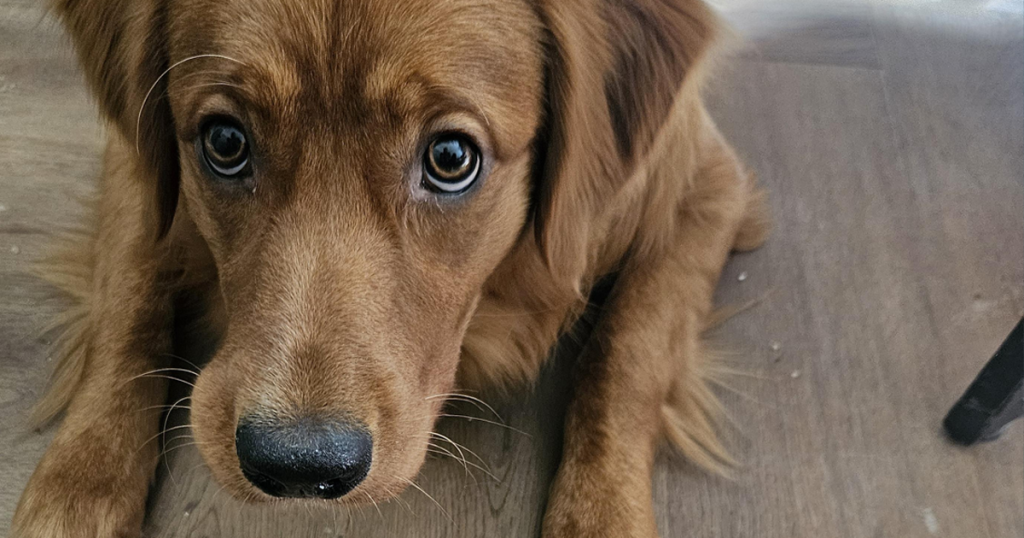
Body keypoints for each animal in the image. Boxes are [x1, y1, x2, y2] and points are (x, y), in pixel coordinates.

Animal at [11, 0, 769, 536]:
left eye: (451, 158)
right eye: (225, 142)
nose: (299, 466)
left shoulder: (705, 181)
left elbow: (626, 357)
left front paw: (601, 516)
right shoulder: (137, 165)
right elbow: (127, 307)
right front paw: (76, 485)